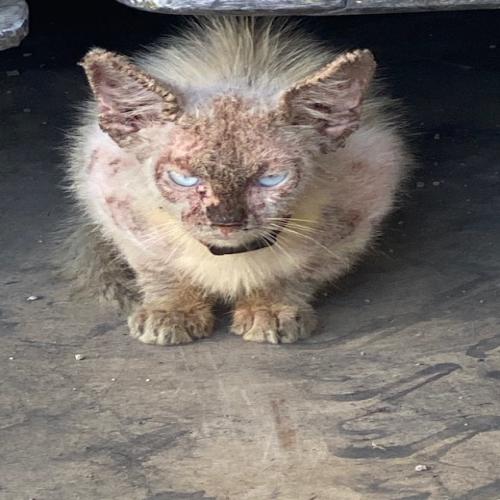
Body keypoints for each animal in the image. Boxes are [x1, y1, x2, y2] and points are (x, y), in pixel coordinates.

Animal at [65, 16, 410, 344]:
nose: (226, 222)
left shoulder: (353, 216)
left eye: (272, 179)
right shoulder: (121, 214)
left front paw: (270, 310)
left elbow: (294, 274)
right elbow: (162, 271)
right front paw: (172, 312)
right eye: (183, 179)